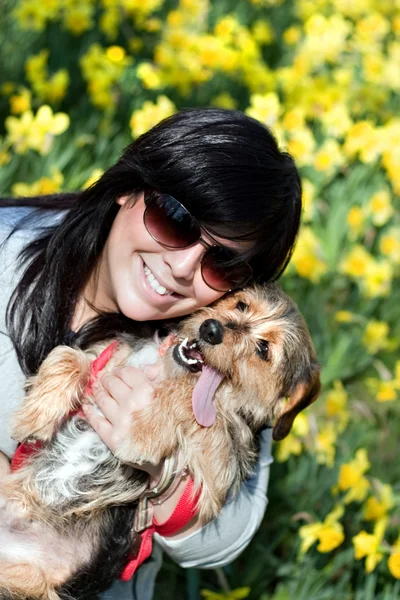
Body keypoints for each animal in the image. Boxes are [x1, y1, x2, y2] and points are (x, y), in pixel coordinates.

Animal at [0, 284, 320, 596]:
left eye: (263, 349)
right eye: (241, 304)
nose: (211, 329)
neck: (168, 368)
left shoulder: (218, 477)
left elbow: (196, 402)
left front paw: (143, 432)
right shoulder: (109, 357)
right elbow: (70, 355)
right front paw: (36, 415)